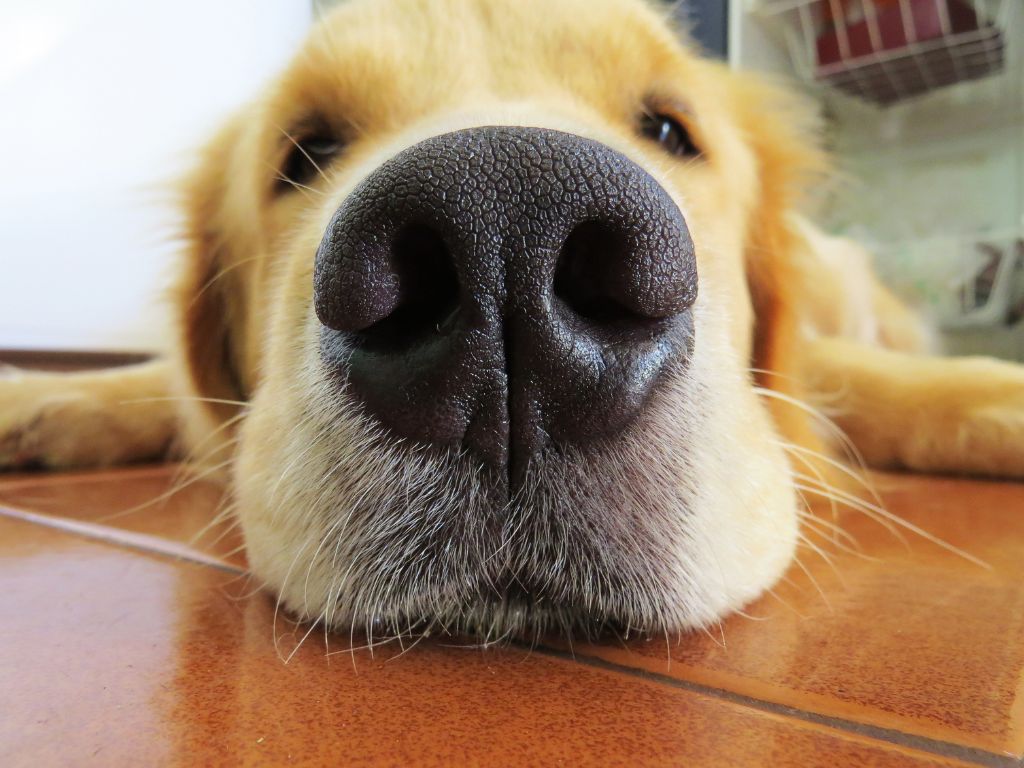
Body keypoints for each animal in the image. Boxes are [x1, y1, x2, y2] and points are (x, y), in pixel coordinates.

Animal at [3, 0, 1024, 642]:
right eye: (308, 151)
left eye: (670, 130)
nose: (506, 240)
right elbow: (154, 387)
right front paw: (41, 397)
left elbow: (865, 380)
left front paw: (995, 397)